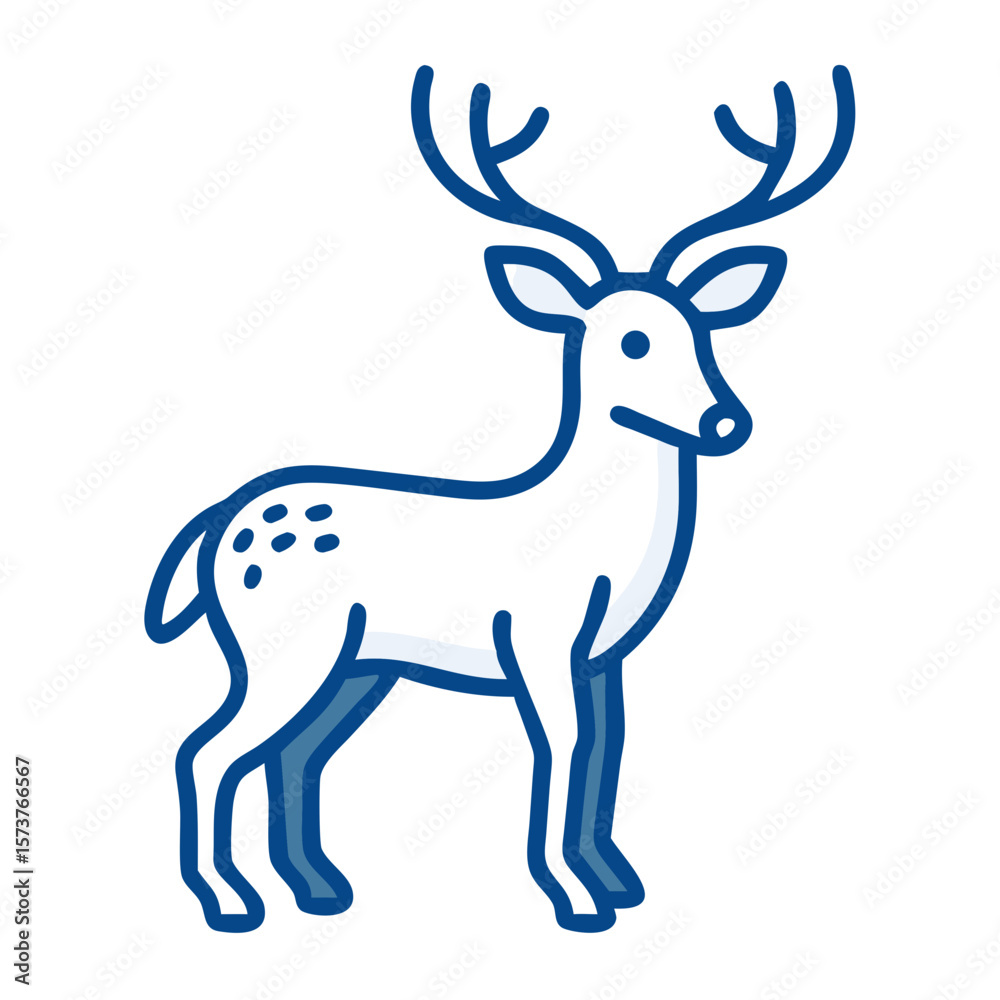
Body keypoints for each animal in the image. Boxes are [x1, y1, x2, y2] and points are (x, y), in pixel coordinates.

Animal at [146, 64, 854, 933]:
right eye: (632, 340)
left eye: (702, 330)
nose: (725, 421)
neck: (596, 538)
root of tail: (218, 524)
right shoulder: (539, 644)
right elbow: (561, 754)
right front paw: (574, 900)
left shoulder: (601, 658)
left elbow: (603, 756)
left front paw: (614, 882)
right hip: (279, 649)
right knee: (206, 749)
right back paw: (230, 902)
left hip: (355, 666)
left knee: (291, 753)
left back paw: (318, 890)